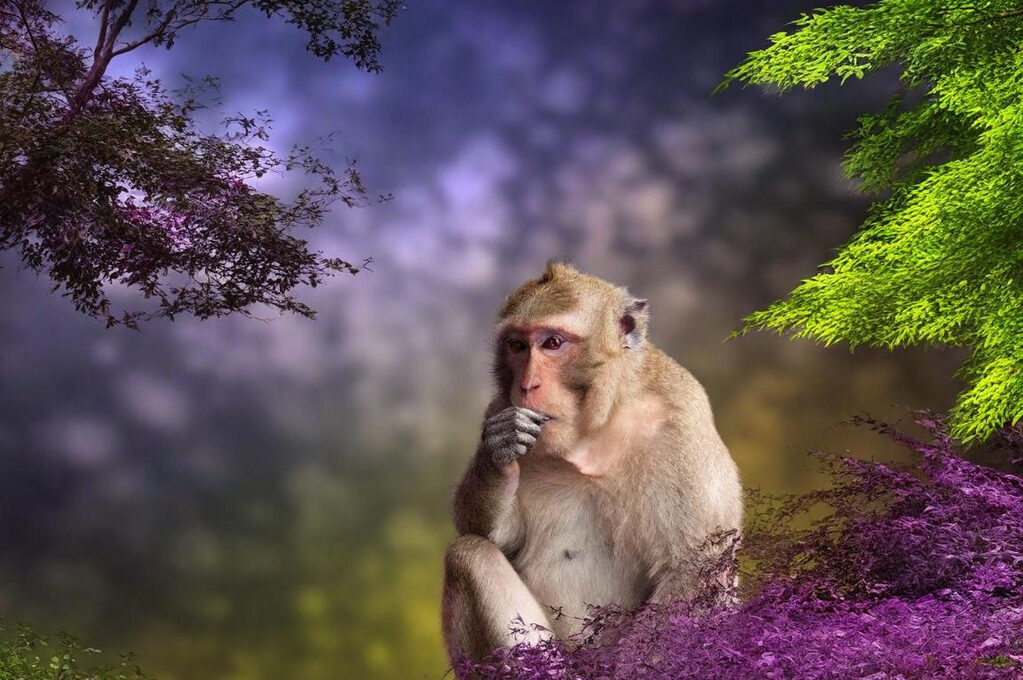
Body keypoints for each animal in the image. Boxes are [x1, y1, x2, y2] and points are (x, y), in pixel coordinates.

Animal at [441, 262, 743, 665]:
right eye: (517, 346)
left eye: (552, 343)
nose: (527, 385)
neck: (594, 430)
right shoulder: (498, 407)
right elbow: (492, 534)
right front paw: (500, 449)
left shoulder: (683, 420)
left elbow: (696, 566)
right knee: (471, 554)